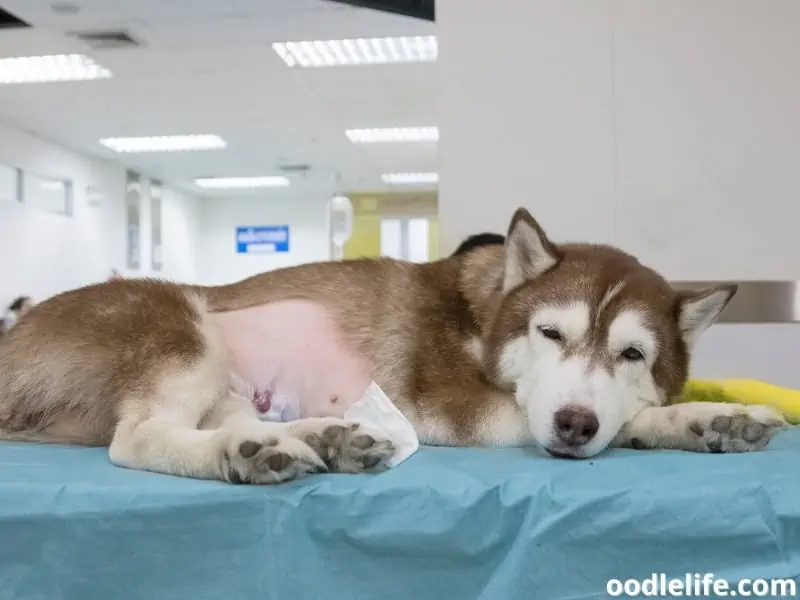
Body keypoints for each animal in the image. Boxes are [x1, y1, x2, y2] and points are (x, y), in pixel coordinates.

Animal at [0, 207, 788, 482]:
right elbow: (625, 421)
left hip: (229, 377)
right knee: (138, 437)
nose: (573, 425)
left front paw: (716, 416)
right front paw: (685, 419)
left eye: (632, 355)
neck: (481, 315)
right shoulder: (452, 405)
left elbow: (644, 412)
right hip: (176, 324)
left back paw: (322, 437)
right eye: (550, 333)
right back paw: (243, 454)